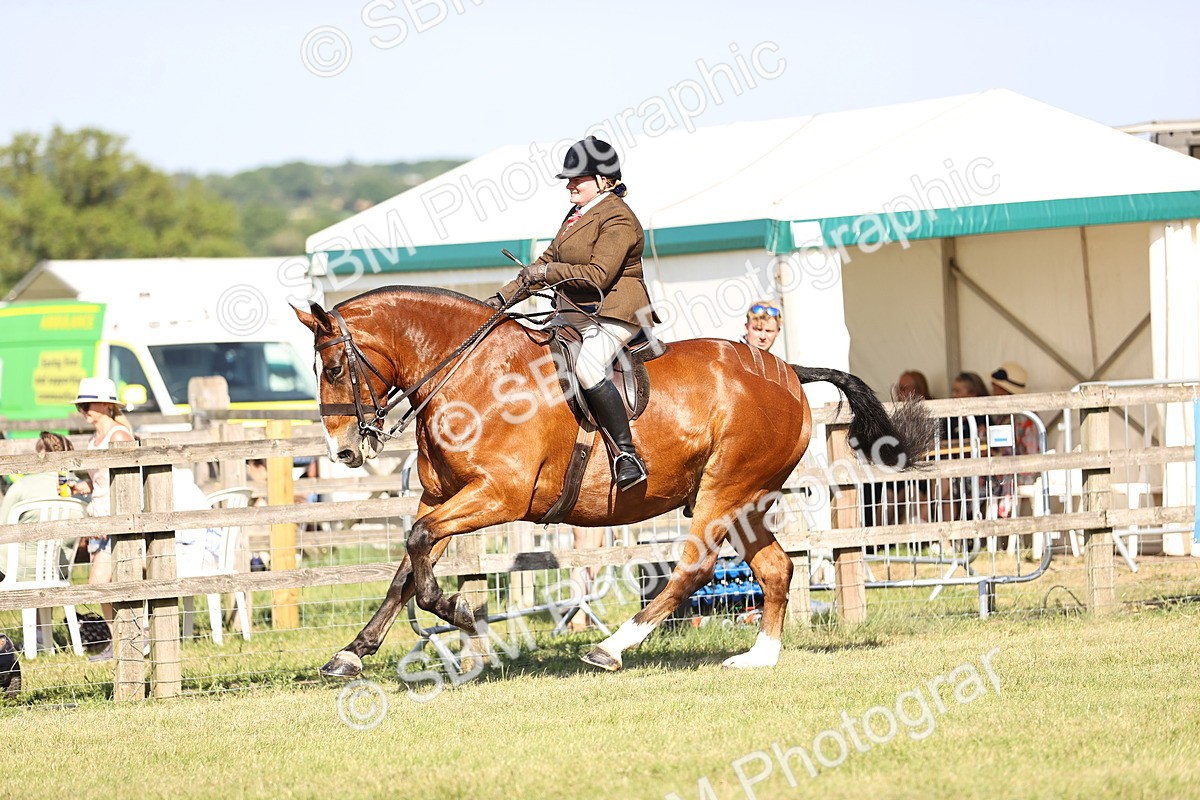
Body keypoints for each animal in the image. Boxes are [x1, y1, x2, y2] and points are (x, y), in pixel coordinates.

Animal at [294, 286, 932, 678]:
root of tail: (786, 370)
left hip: (723, 491)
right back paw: (760, 658)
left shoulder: (498, 495)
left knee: (694, 568)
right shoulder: (444, 495)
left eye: (335, 366)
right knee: (775, 568)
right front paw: (351, 655)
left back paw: (609, 648)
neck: (472, 374)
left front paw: (458, 611)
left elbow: (419, 547)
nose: (344, 450)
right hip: (745, 501)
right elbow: (406, 567)